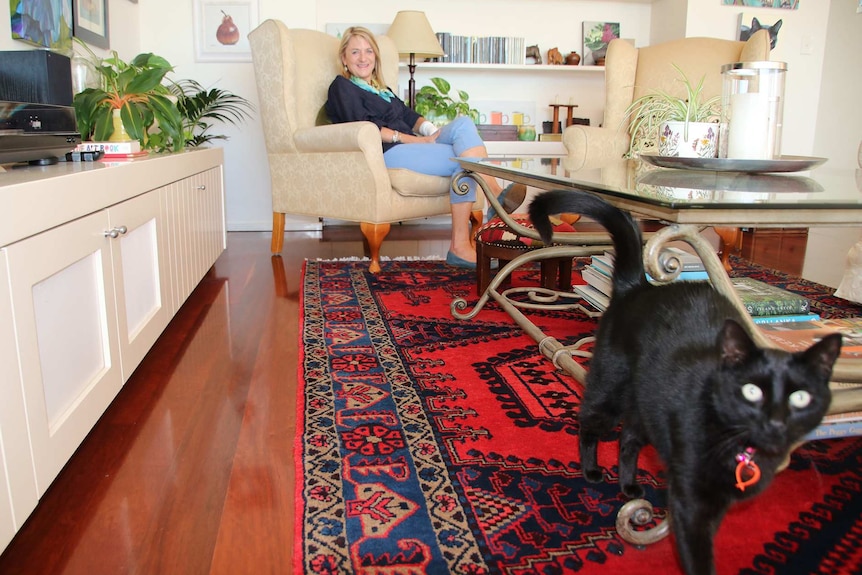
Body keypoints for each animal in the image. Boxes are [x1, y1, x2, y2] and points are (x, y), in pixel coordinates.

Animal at [528, 191, 840, 575]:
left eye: (800, 398)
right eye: (750, 391)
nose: (775, 422)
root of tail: (639, 286)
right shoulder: (690, 498)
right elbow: (696, 553)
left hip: (646, 404)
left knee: (628, 440)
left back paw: (629, 486)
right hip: (610, 386)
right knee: (588, 423)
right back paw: (591, 472)